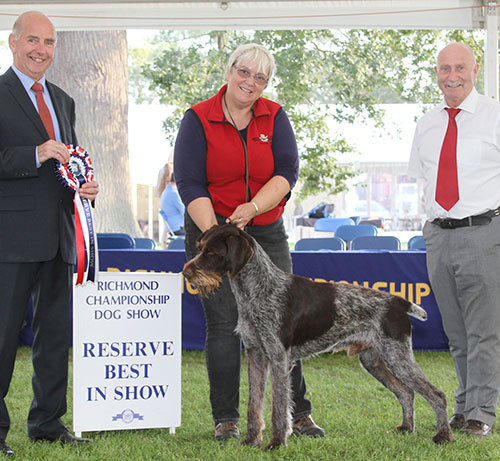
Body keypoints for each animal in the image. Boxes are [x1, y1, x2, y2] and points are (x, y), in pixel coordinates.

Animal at [183, 225, 454, 448]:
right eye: (199, 247)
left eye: (212, 252)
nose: (186, 272)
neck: (256, 290)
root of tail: (398, 302)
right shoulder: (256, 355)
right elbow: (253, 405)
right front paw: (251, 441)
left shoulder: (278, 359)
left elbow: (279, 408)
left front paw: (276, 443)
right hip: (374, 360)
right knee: (406, 392)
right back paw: (406, 428)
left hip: (398, 357)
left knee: (436, 394)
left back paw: (443, 435)